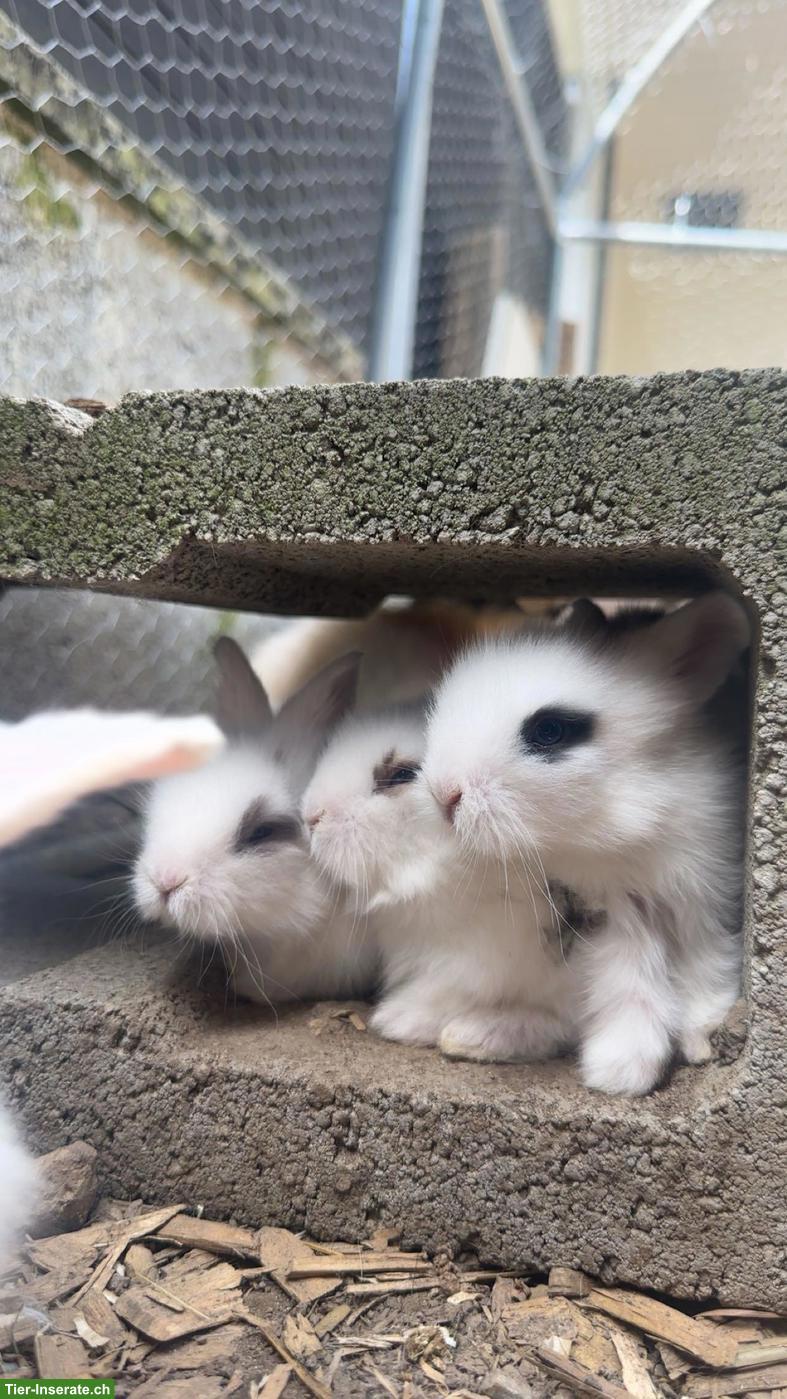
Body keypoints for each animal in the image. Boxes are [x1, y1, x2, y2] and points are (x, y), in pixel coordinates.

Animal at [421, 590, 751, 1095]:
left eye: (550, 730)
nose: (444, 795)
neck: (618, 830)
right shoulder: (611, 914)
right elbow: (629, 980)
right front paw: (623, 1066)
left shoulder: (706, 900)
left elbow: (706, 967)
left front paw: (697, 1041)